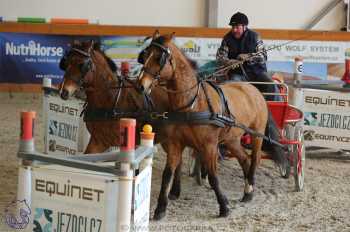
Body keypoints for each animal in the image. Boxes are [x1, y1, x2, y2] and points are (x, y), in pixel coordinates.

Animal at [138, 31, 270, 220]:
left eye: (159, 58)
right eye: (145, 55)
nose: (141, 85)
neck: (192, 104)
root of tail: (252, 89)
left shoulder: (209, 146)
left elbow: (214, 176)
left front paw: (224, 207)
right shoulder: (175, 144)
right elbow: (167, 174)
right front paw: (160, 209)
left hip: (256, 134)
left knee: (255, 159)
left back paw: (250, 186)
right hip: (231, 139)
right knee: (244, 159)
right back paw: (247, 193)